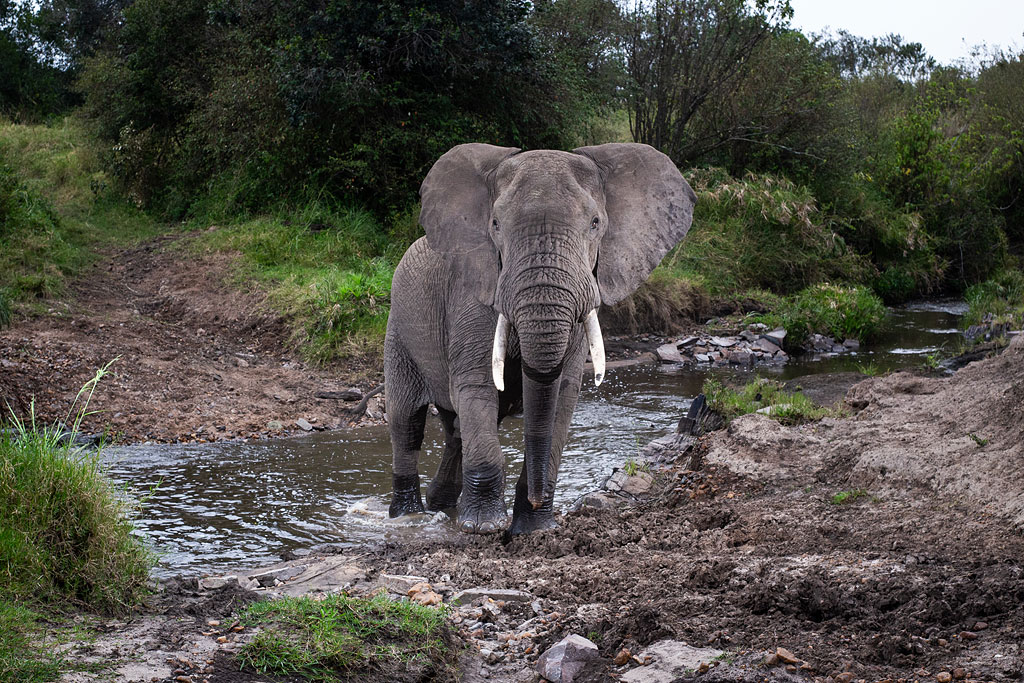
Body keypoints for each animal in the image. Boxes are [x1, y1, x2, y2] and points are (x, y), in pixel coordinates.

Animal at [384, 142, 695, 535]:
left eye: (595, 223)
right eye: (495, 224)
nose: (534, 498)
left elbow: (562, 394)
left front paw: (535, 529)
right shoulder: (473, 293)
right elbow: (477, 385)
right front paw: (483, 527)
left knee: (455, 429)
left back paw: (441, 504)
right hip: (398, 329)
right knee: (407, 422)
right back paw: (407, 516)